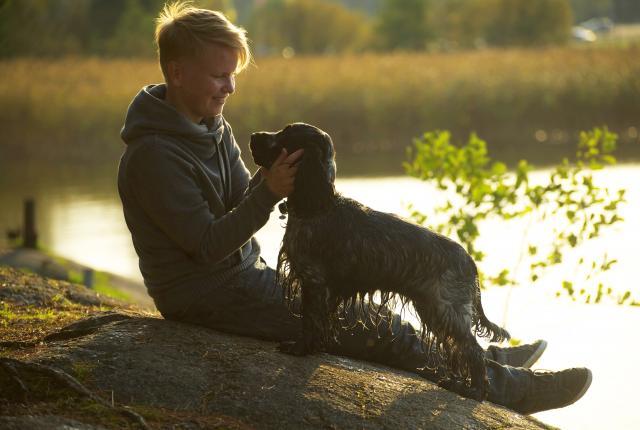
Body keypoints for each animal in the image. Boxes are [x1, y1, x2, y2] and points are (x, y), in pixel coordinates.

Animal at [250, 122, 510, 400]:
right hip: (433, 309)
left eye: (287, 134)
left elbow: (310, 320)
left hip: (446, 308)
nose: (253, 136)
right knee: (458, 349)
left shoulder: (314, 281)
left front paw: (300, 348)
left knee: (473, 351)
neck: (318, 205)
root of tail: (469, 260)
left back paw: (475, 390)